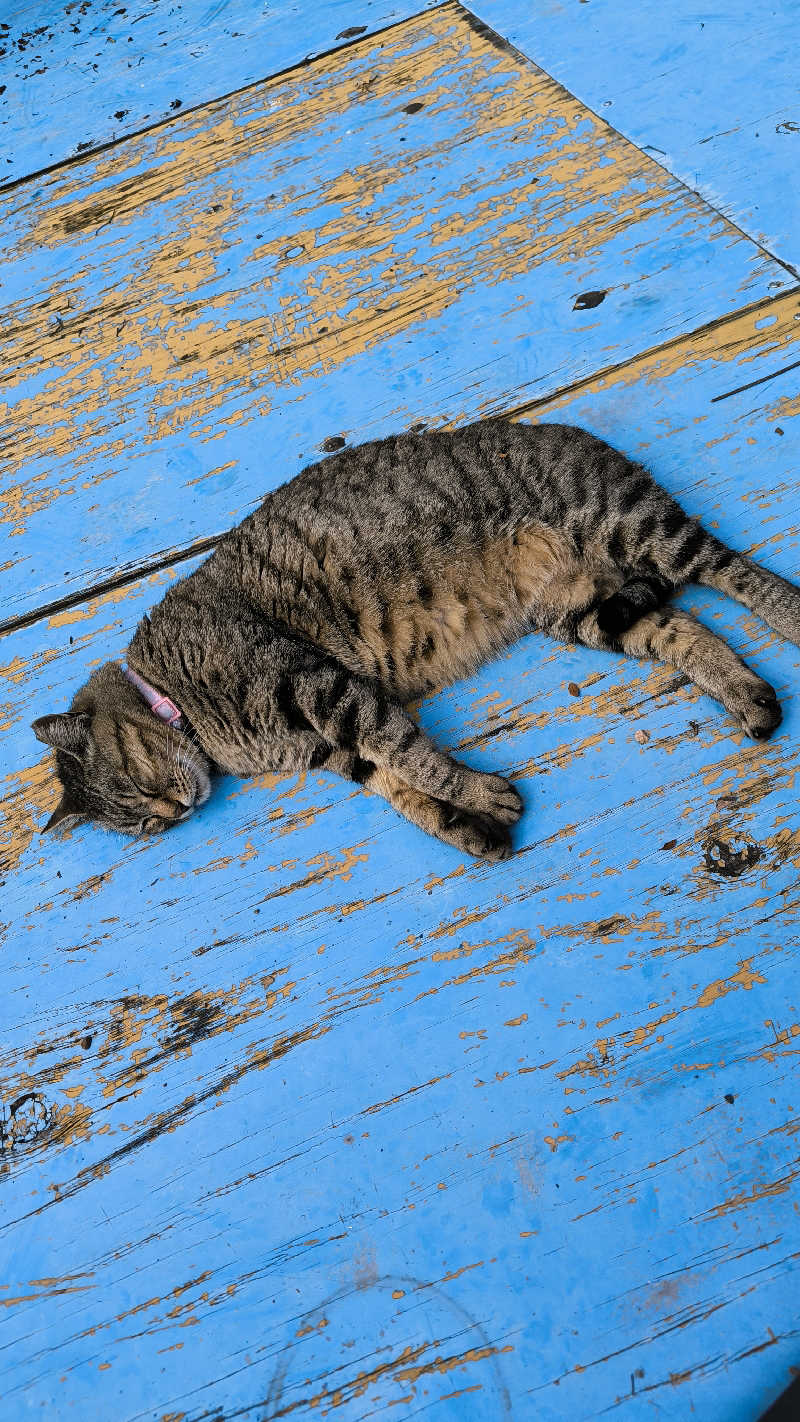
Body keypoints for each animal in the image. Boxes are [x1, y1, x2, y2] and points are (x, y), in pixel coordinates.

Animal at [29, 415, 795, 858]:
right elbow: (397, 786)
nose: (179, 809)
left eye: (138, 788)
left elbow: (410, 754)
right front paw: (468, 825)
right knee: (682, 627)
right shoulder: (329, 750)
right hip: (583, 610)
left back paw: (787, 614)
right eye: (146, 827)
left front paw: (482, 793)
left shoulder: (319, 687)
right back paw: (750, 698)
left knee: (732, 569)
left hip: (633, 524)